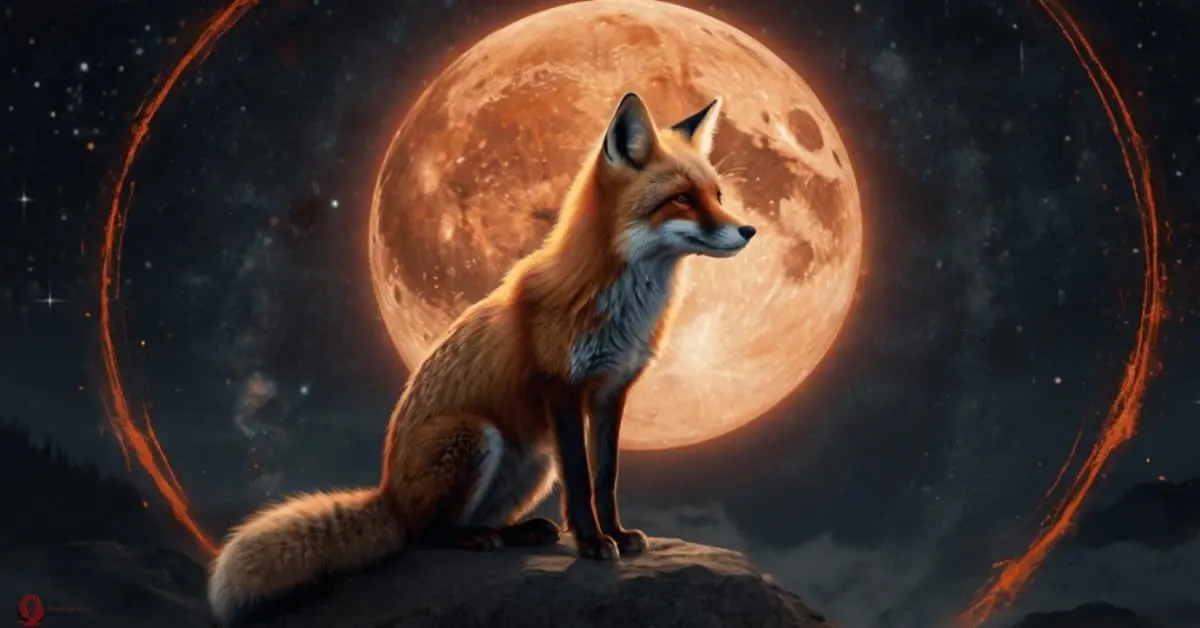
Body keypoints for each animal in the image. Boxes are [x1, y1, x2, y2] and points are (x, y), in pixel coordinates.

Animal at [206, 91, 757, 626]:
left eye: (718, 196)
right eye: (681, 198)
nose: (749, 231)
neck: (620, 304)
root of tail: (388, 496)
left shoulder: (610, 392)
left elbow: (606, 478)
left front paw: (617, 535)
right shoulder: (561, 387)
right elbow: (581, 483)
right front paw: (591, 542)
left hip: (535, 459)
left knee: (474, 521)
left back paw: (519, 532)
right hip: (474, 436)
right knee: (424, 537)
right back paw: (473, 538)